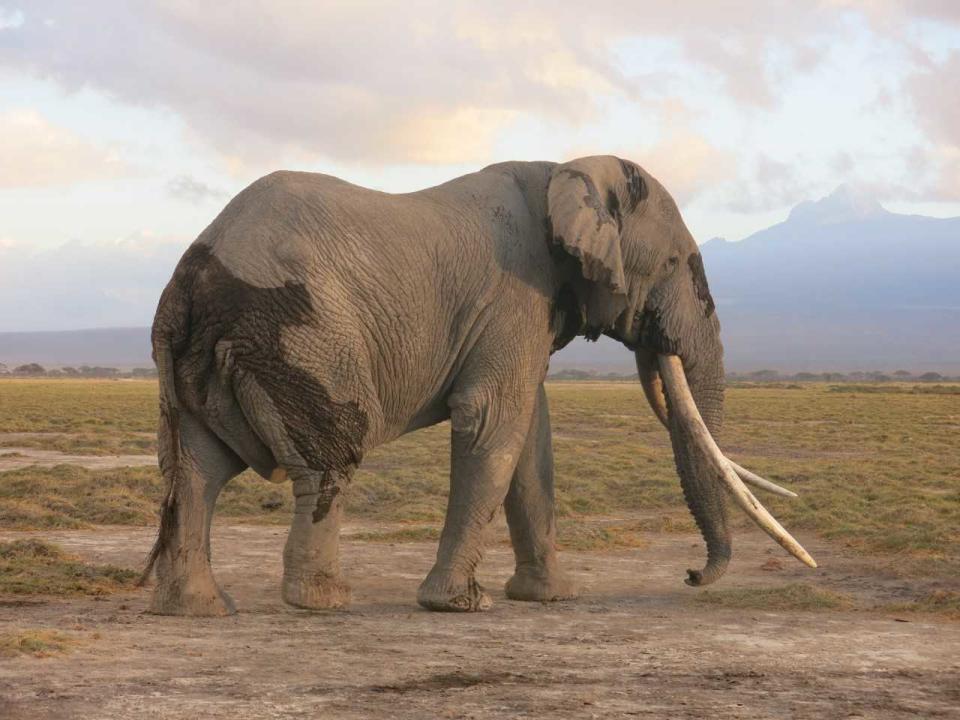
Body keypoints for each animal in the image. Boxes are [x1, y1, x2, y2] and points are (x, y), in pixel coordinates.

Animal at [141, 155, 816, 616]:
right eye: (675, 263)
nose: (690, 578)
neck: (568, 170)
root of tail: (185, 281)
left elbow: (532, 442)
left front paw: (550, 598)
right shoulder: (514, 296)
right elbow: (494, 422)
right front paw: (462, 605)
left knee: (198, 469)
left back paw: (200, 609)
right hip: (302, 337)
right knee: (326, 463)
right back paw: (325, 601)